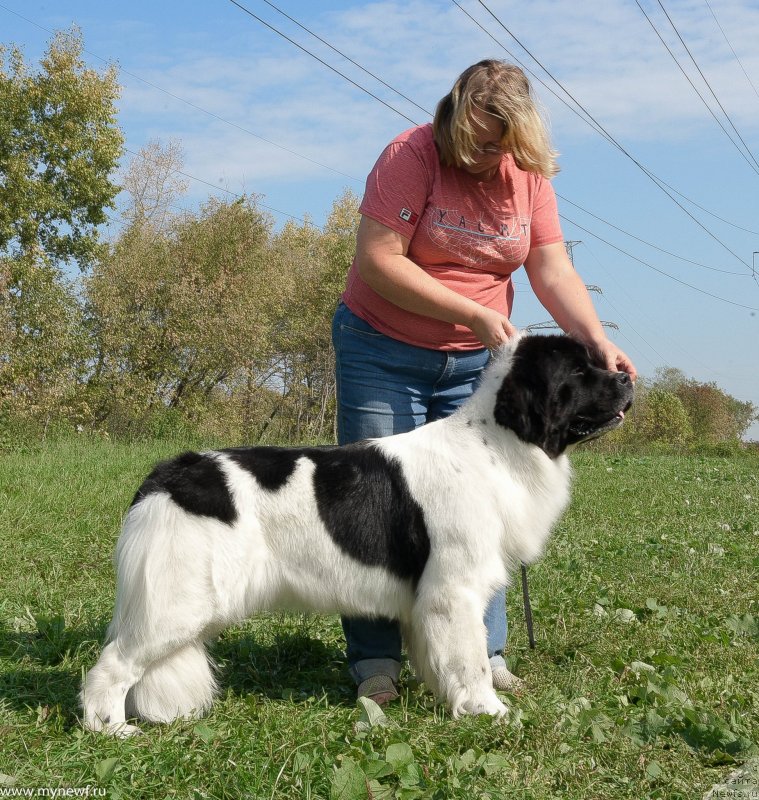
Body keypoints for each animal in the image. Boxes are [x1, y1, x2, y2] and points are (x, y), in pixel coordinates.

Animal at [81, 332, 636, 732]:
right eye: (580, 371)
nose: (627, 378)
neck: (496, 442)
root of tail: (166, 474)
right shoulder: (454, 592)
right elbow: (472, 659)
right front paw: (488, 710)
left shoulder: (425, 601)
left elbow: (441, 657)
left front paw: (448, 699)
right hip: (176, 604)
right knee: (112, 663)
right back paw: (110, 729)